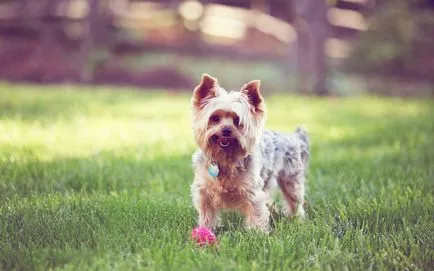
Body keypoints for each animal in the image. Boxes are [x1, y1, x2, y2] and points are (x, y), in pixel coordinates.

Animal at [190, 75, 308, 234]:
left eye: (237, 120)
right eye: (214, 118)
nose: (226, 130)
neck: (225, 158)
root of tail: (294, 137)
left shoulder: (253, 192)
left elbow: (256, 212)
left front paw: (257, 234)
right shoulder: (204, 191)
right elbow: (207, 213)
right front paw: (206, 228)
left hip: (291, 180)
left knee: (295, 201)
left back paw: (297, 219)